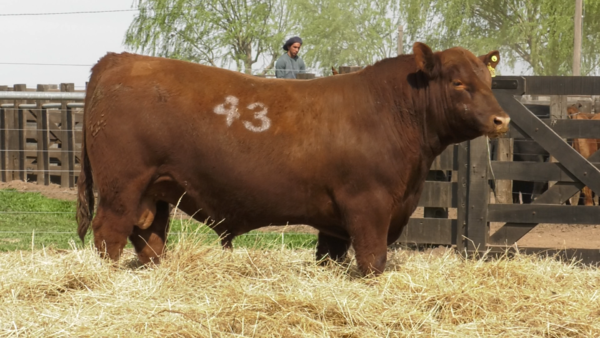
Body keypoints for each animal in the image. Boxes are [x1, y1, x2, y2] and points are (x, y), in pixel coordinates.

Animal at [77, 42, 510, 276]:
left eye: (488, 80)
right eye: (458, 82)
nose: (501, 119)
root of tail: (118, 59)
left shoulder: (336, 222)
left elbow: (329, 257)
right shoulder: (368, 206)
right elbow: (373, 260)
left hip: (155, 191)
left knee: (149, 239)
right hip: (121, 188)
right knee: (108, 234)